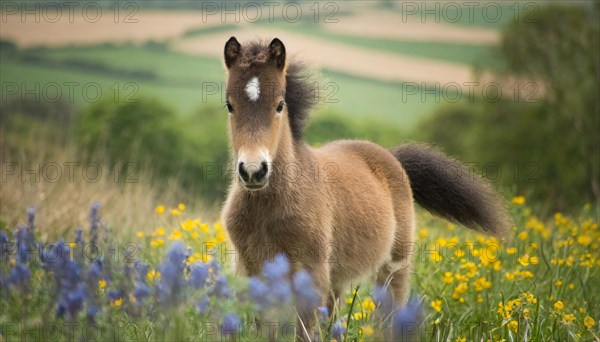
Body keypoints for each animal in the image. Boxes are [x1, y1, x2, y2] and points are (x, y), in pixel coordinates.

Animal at [220, 36, 510, 336]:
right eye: (229, 105)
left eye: (279, 105)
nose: (253, 171)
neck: (270, 208)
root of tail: (391, 156)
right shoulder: (250, 270)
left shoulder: (312, 274)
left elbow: (306, 330)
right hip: (337, 279)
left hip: (393, 267)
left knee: (388, 317)